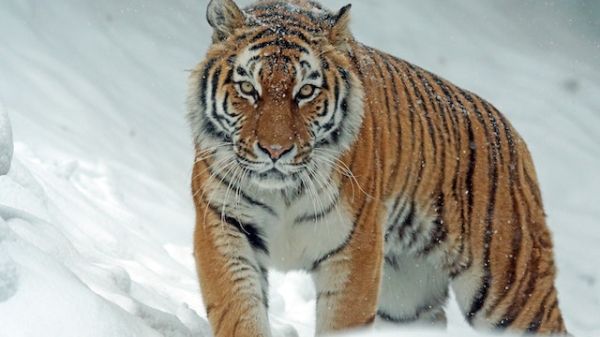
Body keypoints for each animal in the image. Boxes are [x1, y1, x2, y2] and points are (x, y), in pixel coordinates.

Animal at [186, 0, 568, 334]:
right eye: (247, 88)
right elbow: (239, 313)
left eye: (306, 91)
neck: (284, 192)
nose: (275, 150)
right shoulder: (224, 227)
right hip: (406, 298)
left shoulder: (355, 250)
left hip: (511, 290)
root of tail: (515, 138)